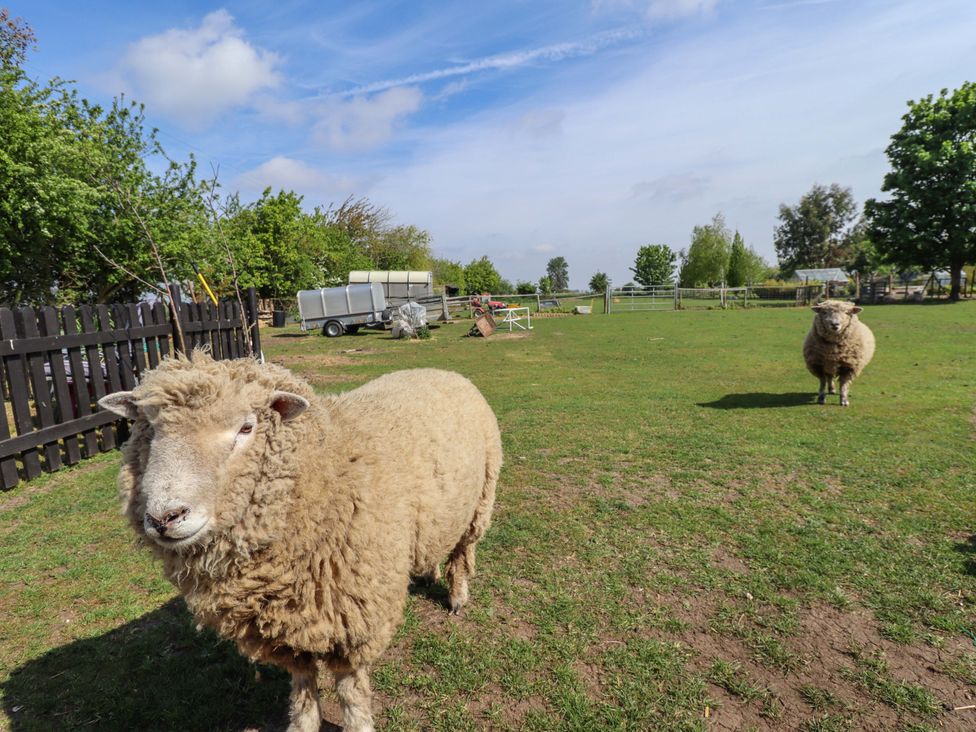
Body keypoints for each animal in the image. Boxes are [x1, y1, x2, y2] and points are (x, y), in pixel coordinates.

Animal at [98, 352, 502, 732]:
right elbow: (303, 684)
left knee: (463, 551)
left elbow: (350, 691)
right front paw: (303, 722)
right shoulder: (286, 626)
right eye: (150, 429)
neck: (328, 473)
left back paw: (457, 596)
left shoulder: (354, 616)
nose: (165, 517)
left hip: (482, 498)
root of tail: (442, 370)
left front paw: (358, 723)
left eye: (247, 427)